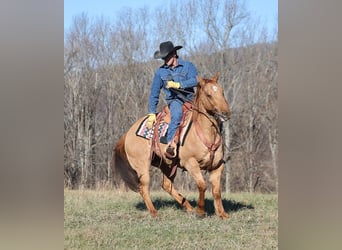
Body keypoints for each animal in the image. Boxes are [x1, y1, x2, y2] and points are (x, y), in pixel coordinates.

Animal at [112, 72, 230, 219]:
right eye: (208, 95)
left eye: (222, 92)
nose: (226, 113)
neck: (206, 132)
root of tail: (128, 133)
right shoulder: (190, 163)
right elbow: (202, 185)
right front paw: (200, 211)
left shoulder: (217, 166)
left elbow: (217, 191)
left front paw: (222, 214)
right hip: (142, 166)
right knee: (144, 188)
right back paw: (154, 212)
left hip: (167, 165)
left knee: (167, 185)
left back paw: (189, 208)